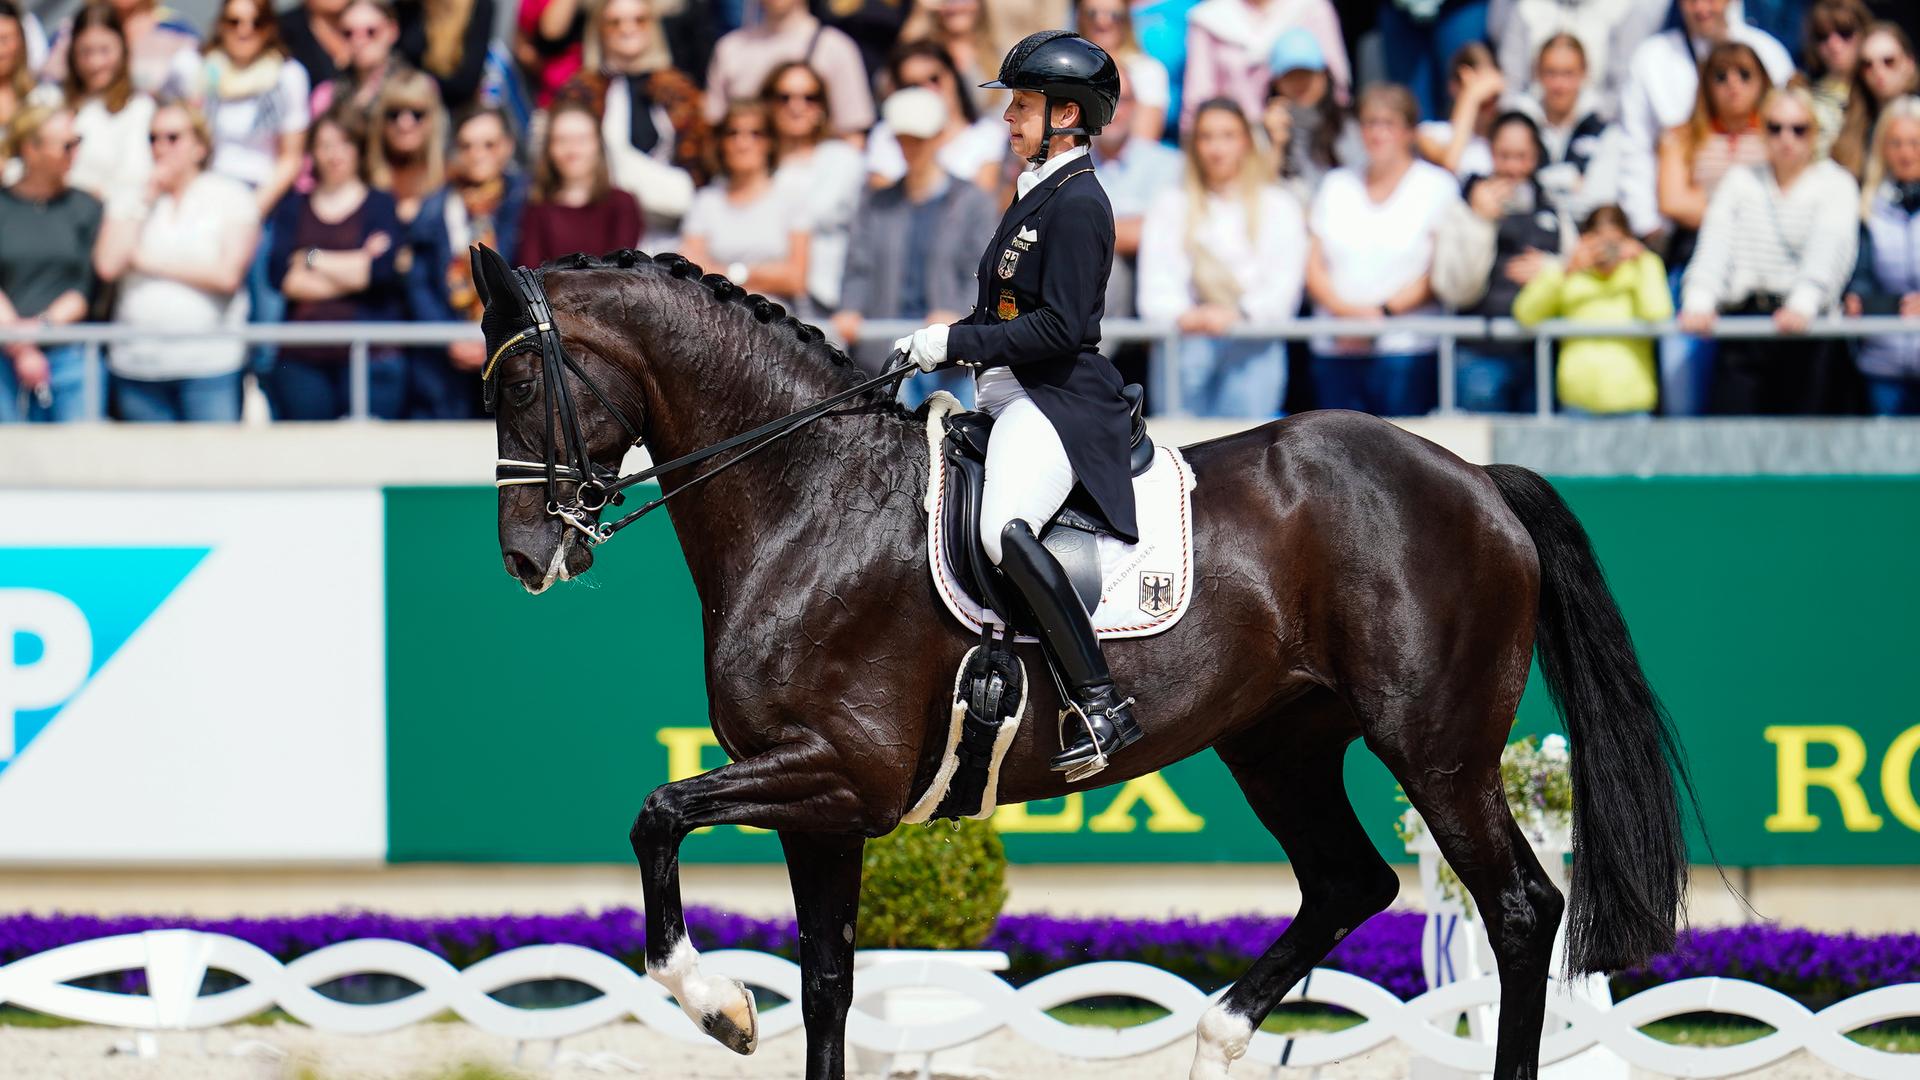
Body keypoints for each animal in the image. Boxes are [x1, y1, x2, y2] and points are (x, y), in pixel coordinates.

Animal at [469, 245, 1693, 1080]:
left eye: (520, 386)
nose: (528, 559)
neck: (805, 499)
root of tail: (1477, 478)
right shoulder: (824, 810)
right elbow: (827, 982)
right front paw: (742, 1004)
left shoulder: (841, 773)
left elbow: (657, 815)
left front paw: (716, 1004)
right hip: (1280, 744)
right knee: (1354, 882)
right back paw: (1218, 1037)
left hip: (1436, 749)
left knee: (1521, 909)